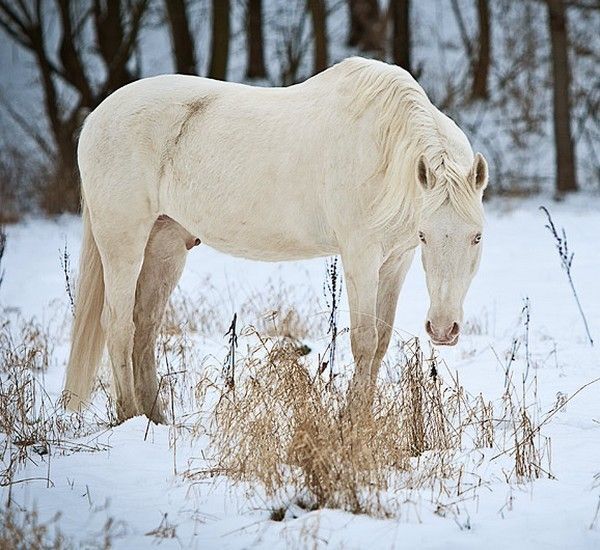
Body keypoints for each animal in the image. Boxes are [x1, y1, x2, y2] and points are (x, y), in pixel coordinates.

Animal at [65, 58, 488, 424]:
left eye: (477, 236)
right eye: (425, 235)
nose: (443, 329)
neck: (385, 149)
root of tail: (96, 118)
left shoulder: (396, 260)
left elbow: (381, 342)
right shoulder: (361, 256)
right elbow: (365, 342)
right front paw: (352, 424)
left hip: (165, 245)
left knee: (145, 326)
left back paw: (155, 419)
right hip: (123, 243)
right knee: (119, 325)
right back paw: (129, 415)